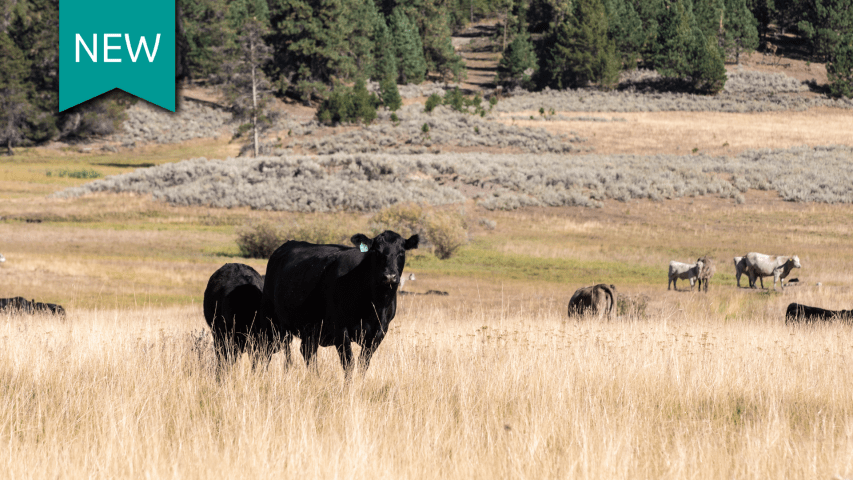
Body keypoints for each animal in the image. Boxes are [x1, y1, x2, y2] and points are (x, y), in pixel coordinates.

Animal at [262, 231, 418, 374]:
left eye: (401, 252)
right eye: (377, 252)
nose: (389, 276)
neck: (375, 304)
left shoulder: (379, 331)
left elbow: (363, 364)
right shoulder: (340, 329)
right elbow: (348, 364)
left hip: (309, 328)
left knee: (307, 352)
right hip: (273, 320)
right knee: (271, 349)